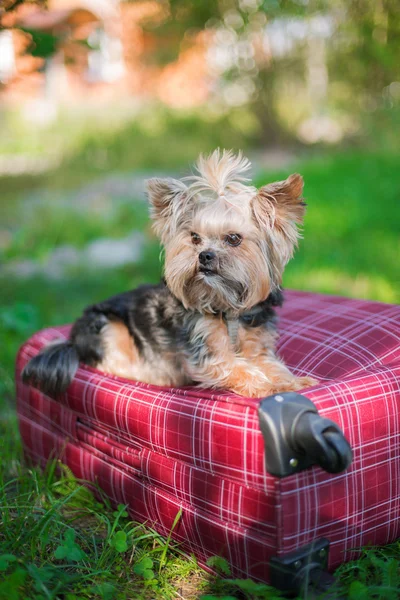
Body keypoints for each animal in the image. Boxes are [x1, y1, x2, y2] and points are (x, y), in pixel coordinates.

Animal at [22, 150, 318, 398]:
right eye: (195, 238)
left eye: (233, 239)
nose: (204, 255)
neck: (228, 308)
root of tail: (71, 341)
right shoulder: (207, 354)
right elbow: (239, 368)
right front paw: (270, 386)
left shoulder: (257, 345)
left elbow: (269, 365)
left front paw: (293, 381)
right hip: (108, 327)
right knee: (113, 363)